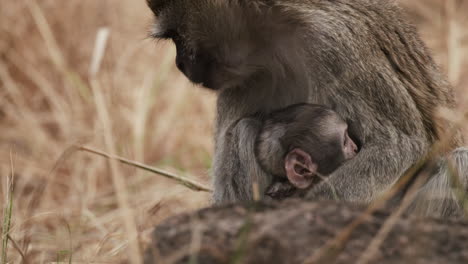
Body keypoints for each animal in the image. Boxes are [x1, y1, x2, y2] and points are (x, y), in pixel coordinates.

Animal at [146, 0, 460, 205]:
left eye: (177, 36)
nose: (180, 64)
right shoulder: (242, 80)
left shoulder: (334, 43)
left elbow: (397, 147)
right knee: (244, 128)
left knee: (459, 161)